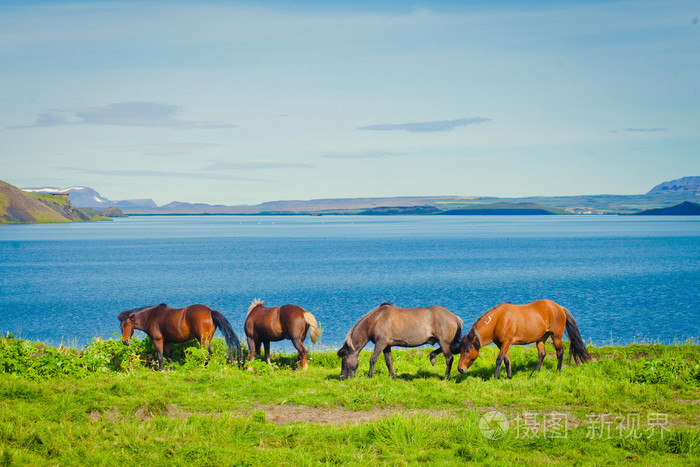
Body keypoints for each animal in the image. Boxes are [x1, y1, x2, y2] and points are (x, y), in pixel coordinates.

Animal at [457, 299, 591, 379]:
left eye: (467, 351)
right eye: (460, 350)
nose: (460, 369)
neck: (499, 320)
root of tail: (559, 307)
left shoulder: (507, 342)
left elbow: (499, 359)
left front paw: (496, 377)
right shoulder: (502, 344)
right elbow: (506, 360)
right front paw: (509, 377)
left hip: (556, 336)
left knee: (560, 353)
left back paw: (557, 371)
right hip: (541, 338)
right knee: (542, 354)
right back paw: (534, 373)